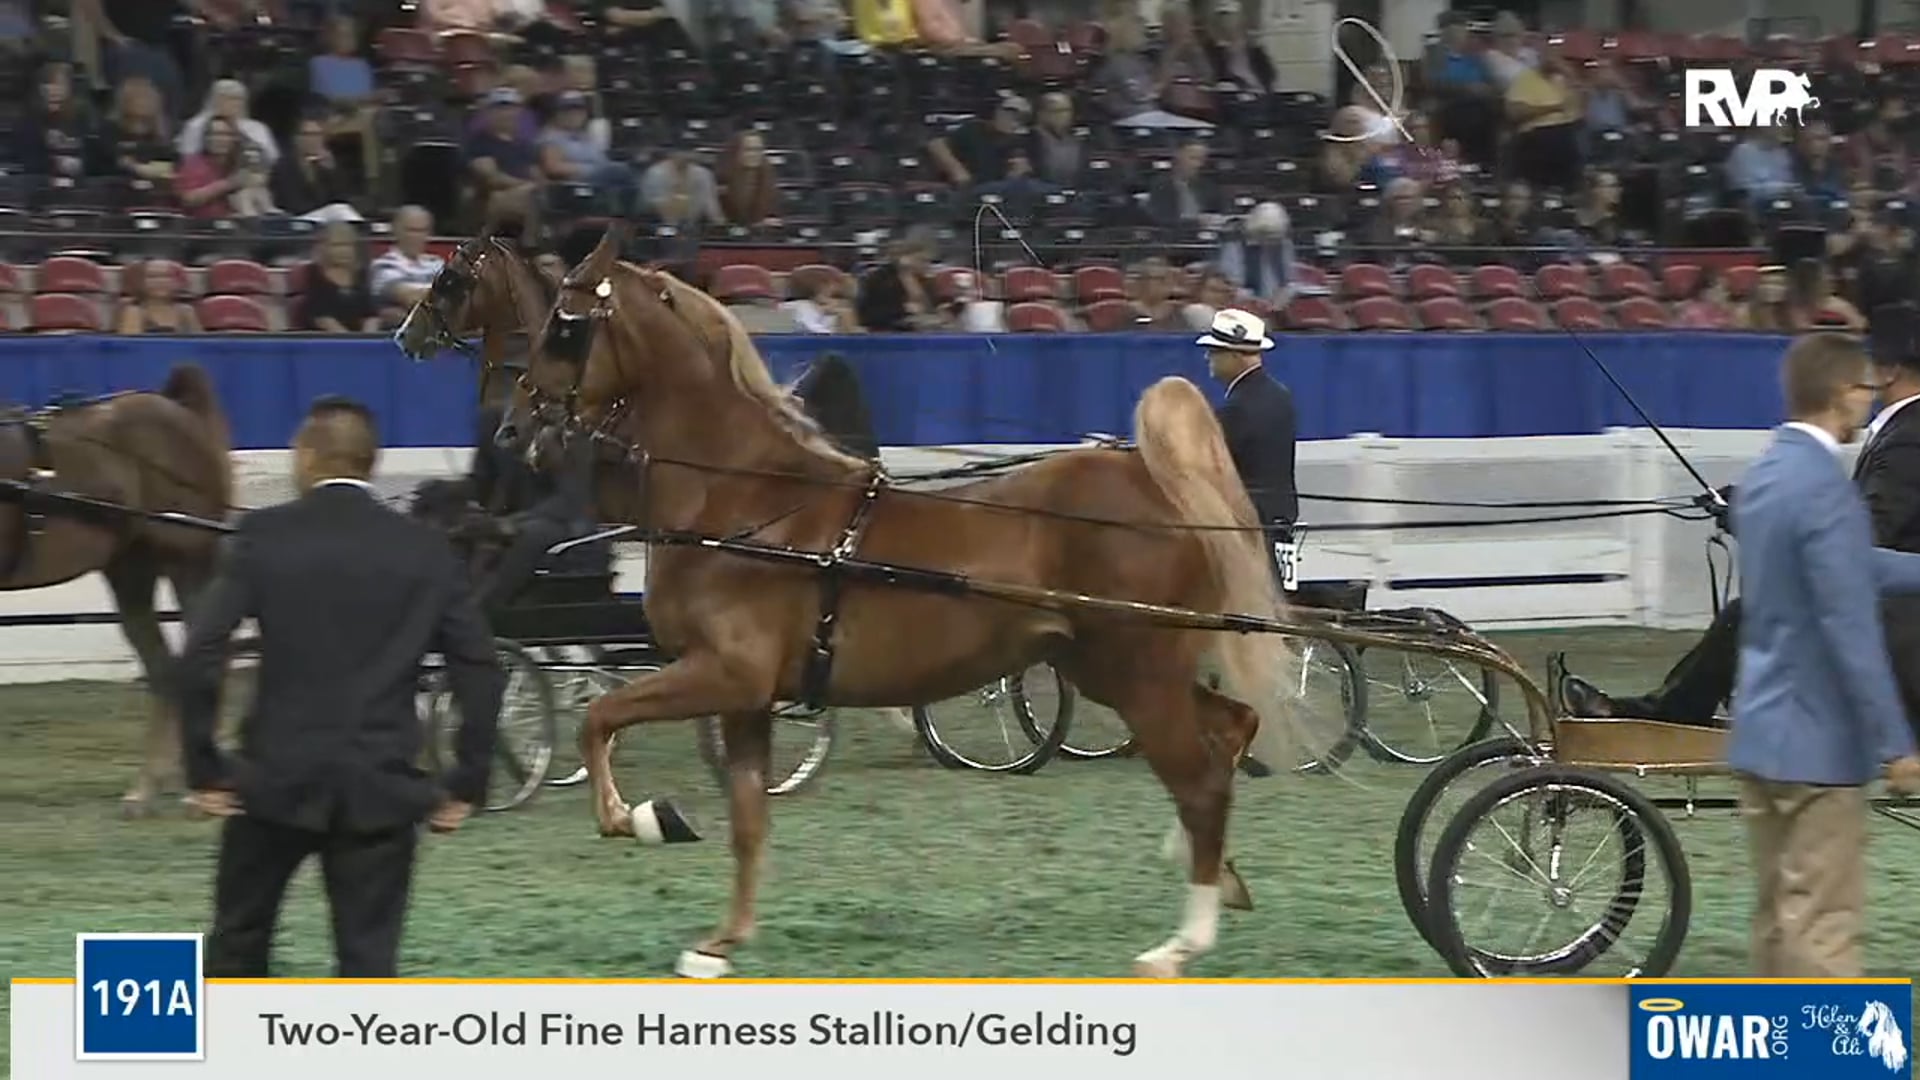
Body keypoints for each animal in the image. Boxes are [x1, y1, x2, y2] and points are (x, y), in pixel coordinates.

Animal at [514, 224, 1344, 979]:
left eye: (565, 321)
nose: (520, 427)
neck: (749, 503)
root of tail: (1153, 483)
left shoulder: (724, 673)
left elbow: (598, 718)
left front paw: (638, 819)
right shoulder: (747, 697)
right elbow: (748, 820)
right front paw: (719, 945)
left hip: (1137, 675)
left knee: (1200, 780)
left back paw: (1181, 943)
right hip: (1111, 669)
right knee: (1229, 731)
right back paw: (1210, 871)